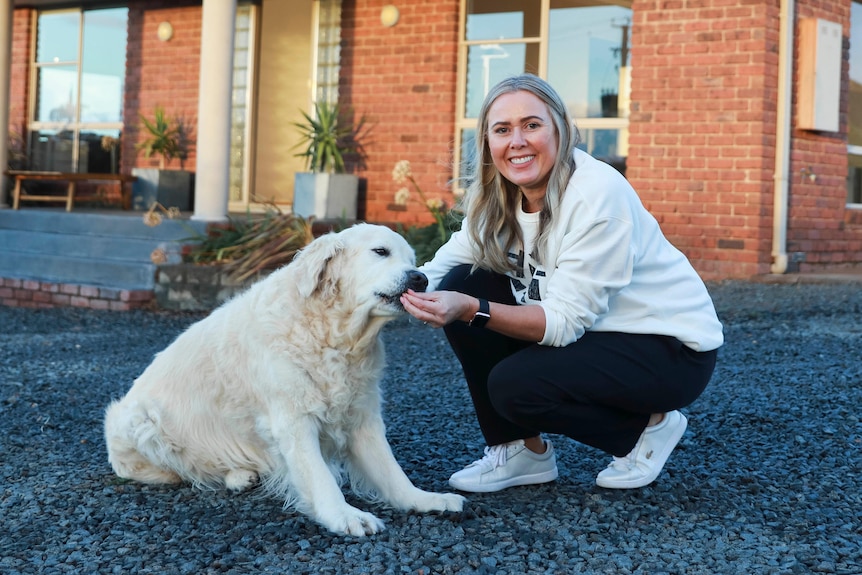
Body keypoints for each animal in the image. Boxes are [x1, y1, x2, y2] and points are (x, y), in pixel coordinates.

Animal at [103, 224, 466, 536]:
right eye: (380, 251)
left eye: (412, 259)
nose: (420, 278)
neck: (333, 335)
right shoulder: (294, 420)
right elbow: (319, 476)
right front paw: (345, 515)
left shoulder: (361, 414)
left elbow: (391, 471)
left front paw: (424, 499)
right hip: (142, 422)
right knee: (180, 470)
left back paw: (241, 474)